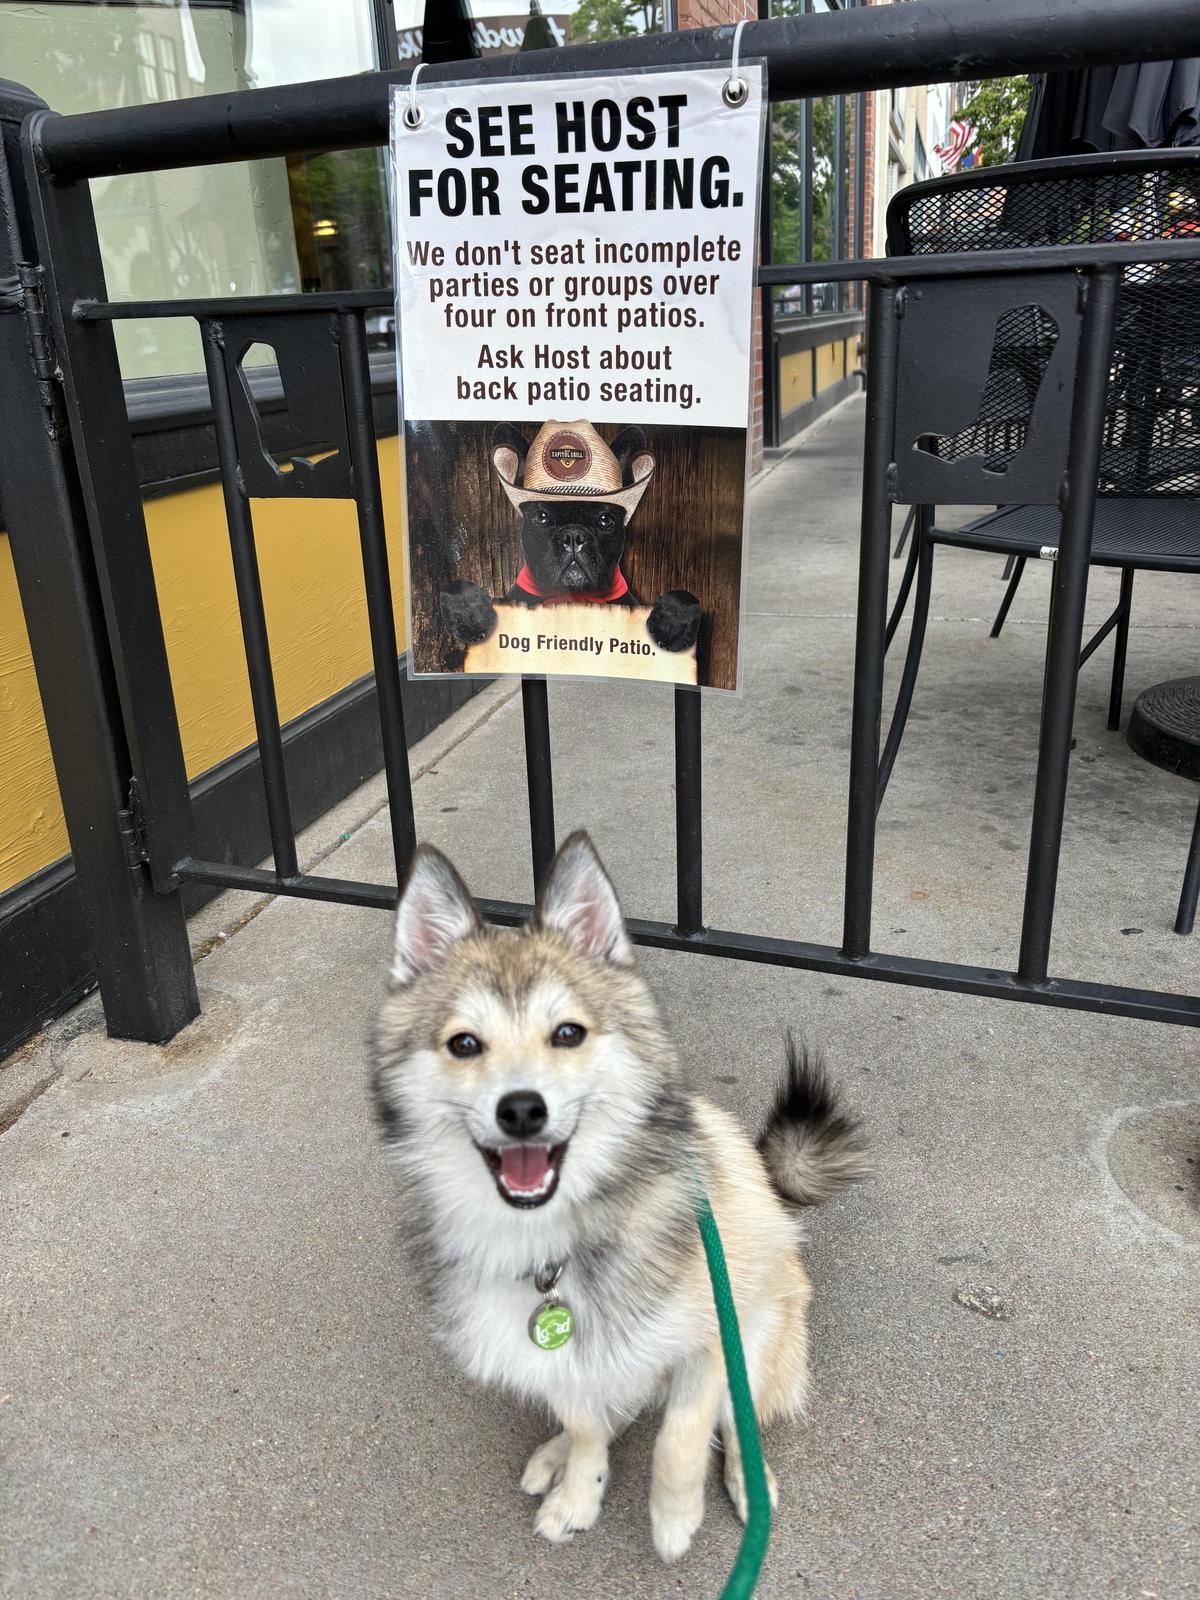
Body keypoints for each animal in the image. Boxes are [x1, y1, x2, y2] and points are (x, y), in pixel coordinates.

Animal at [371, 838, 870, 1561]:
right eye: (464, 1043)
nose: (521, 1110)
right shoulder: (562, 1354)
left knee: (736, 1423)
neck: (559, 1237)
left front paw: (674, 1516)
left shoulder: (713, 1337)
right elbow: (586, 1424)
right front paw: (579, 1489)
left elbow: (682, 1435)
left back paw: (747, 1483)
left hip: (765, 1329)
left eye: (567, 1033)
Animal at [441, 425, 704, 656]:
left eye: (606, 520)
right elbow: (454, 587)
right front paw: (472, 614)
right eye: (541, 517)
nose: (574, 535)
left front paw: (672, 624)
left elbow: (685, 595)